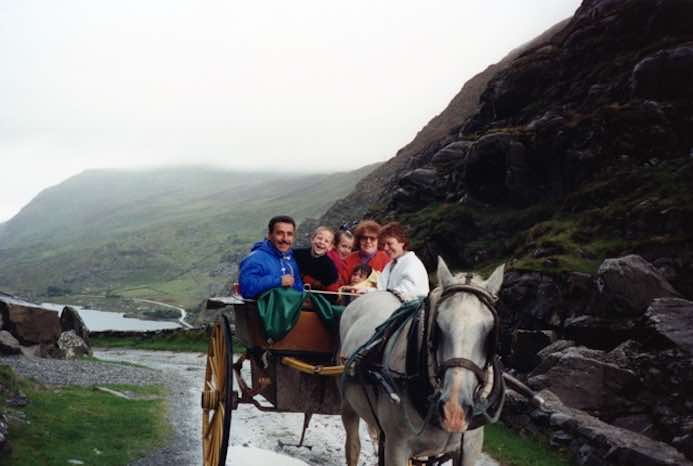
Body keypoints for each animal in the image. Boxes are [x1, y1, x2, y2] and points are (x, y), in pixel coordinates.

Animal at [340, 258, 506, 466]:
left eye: (490, 331)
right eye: (438, 327)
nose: (454, 411)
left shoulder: (470, 449)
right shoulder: (397, 447)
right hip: (348, 402)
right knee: (352, 444)